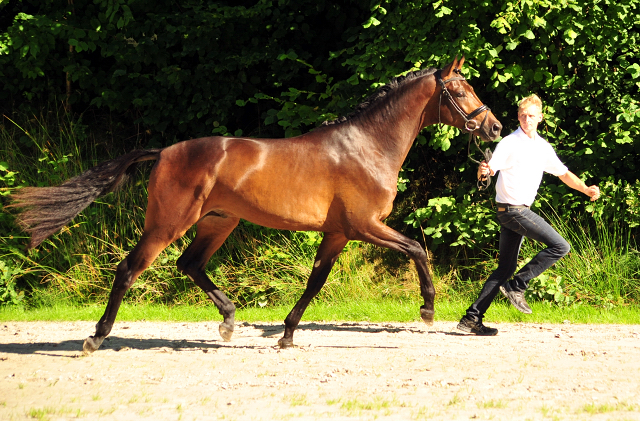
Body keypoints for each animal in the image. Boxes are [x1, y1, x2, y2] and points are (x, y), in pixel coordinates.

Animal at [7, 55, 502, 352]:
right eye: (461, 91)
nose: (495, 127)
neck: (366, 146)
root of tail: (164, 152)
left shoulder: (338, 233)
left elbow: (315, 282)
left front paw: (286, 335)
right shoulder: (364, 226)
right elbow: (418, 249)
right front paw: (428, 311)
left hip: (217, 222)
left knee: (189, 264)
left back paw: (228, 321)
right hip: (169, 223)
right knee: (129, 269)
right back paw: (96, 337)